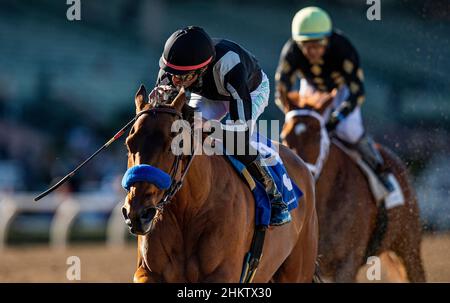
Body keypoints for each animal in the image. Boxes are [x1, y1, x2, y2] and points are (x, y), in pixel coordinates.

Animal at [122, 86, 320, 284]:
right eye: (129, 144)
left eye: (175, 144)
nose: (138, 213)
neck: (190, 210)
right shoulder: (148, 272)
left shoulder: (223, 274)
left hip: (297, 270)